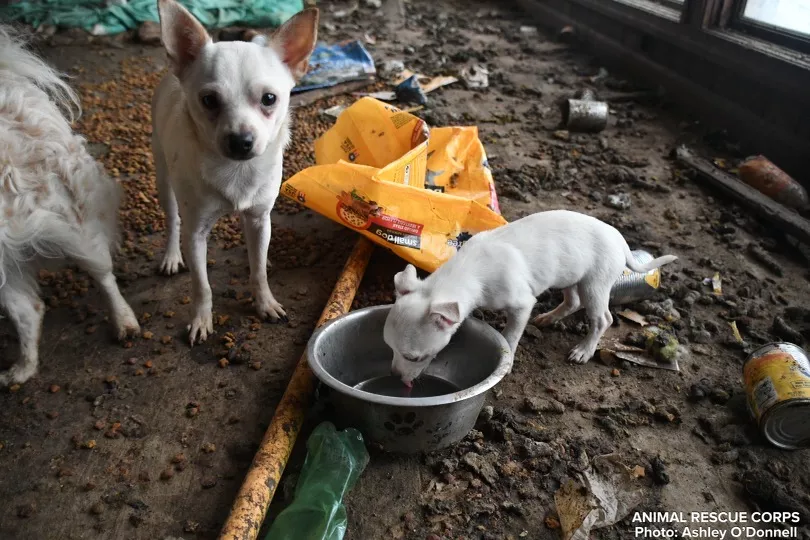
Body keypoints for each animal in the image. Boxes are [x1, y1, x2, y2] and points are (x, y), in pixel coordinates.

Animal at [153, 0, 318, 344]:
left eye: (269, 99)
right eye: (209, 100)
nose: (241, 141)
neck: (237, 172)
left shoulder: (258, 218)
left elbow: (258, 271)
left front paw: (265, 301)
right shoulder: (196, 233)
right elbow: (201, 286)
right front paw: (201, 320)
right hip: (163, 180)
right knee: (173, 221)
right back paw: (172, 256)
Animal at [384, 210, 676, 384]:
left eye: (413, 358)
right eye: (388, 348)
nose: (395, 376)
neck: (469, 271)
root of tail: (621, 241)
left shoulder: (522, 305)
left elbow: (510, 336)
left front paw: (509, 360)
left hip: (595, 284)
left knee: (602, 318)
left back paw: (584, 350)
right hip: (570, 276)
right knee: (573, 301)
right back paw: (548, 319)